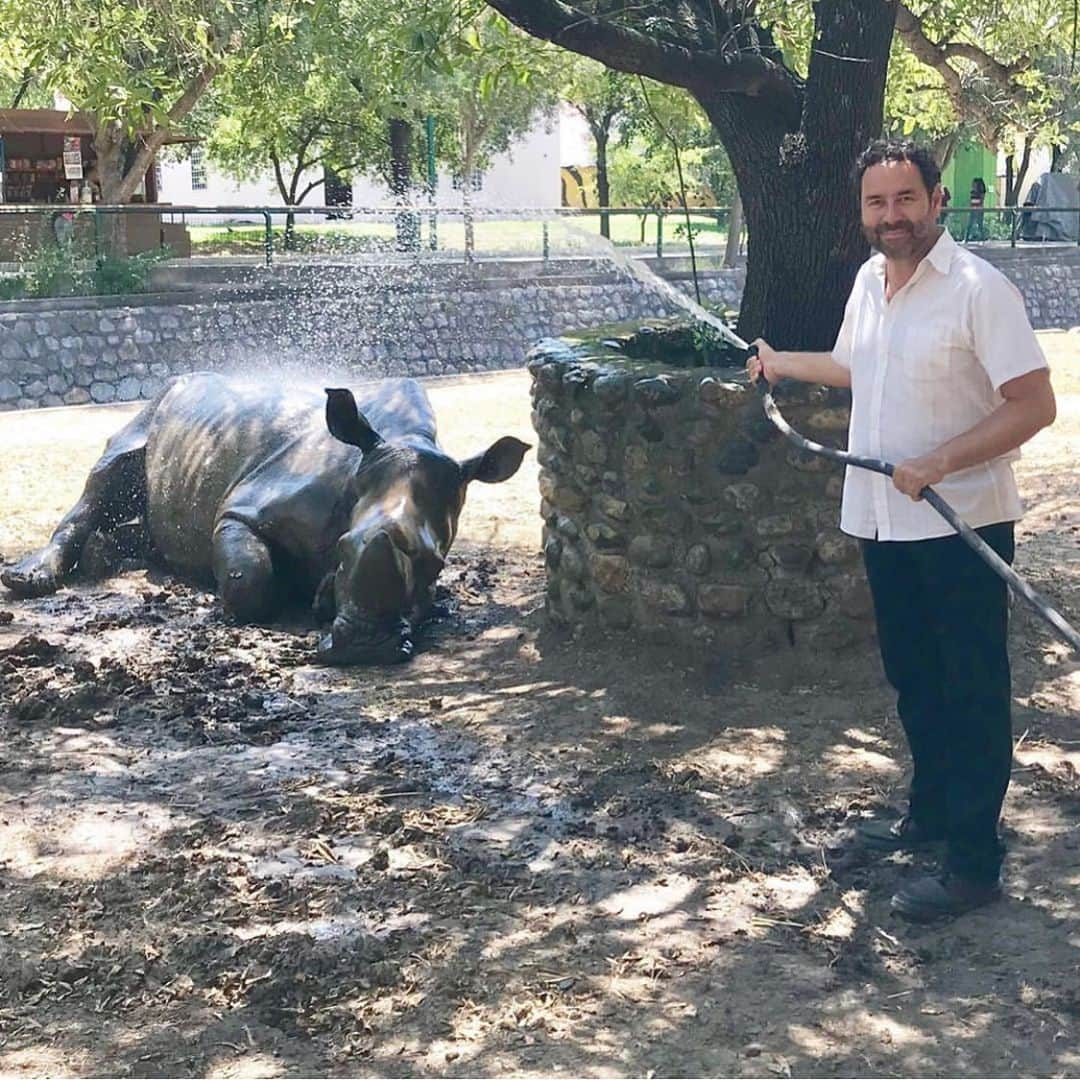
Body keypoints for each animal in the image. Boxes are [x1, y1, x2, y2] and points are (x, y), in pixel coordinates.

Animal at [2, 371, 529, 660]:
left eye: (436, 565)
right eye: (342, 546)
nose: (366, 648)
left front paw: (324, 597)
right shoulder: (242, 511)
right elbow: (249, 579)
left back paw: (108, 557)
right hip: (151, 410)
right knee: (110, 471)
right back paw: (32, 579)